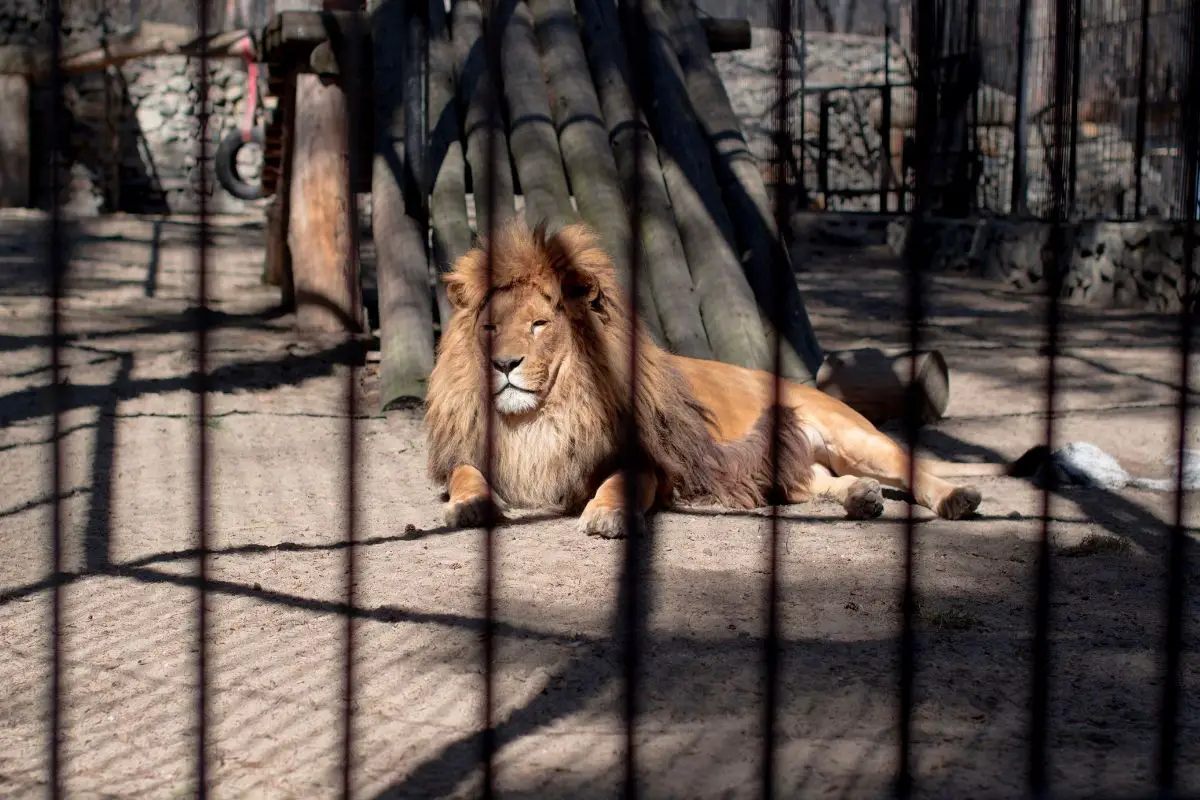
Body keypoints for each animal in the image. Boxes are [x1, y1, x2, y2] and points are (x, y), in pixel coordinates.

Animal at [427, 219, 998, 537]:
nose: (503, 364)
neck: (545, 414)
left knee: (911, 466)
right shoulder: (474, 452)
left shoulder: (648, 460)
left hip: (854, 436)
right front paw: (470, 506)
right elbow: (465, 475)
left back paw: (956, 498)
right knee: (818, 479)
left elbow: (620, 483)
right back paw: (860, 497)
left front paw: (606, 516)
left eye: (539, 325)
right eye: (490, 327)